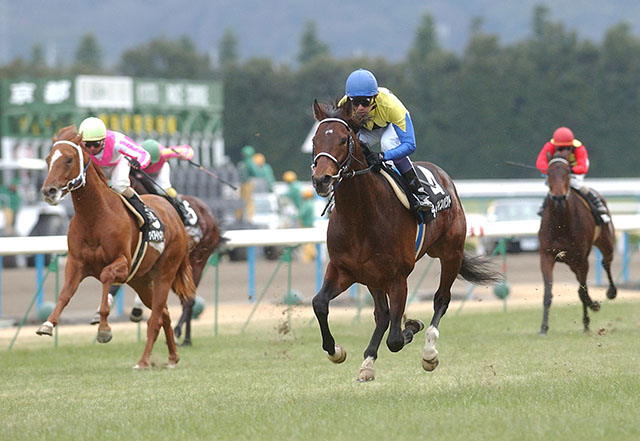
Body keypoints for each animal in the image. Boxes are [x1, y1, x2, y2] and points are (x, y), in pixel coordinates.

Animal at [37, 126, 196, 369]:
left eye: (69, 159)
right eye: (48, 159)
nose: (49, 191)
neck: (95, 217)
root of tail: (174, 213)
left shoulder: (123, 263)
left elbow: (105, 276)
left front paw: (104, 329)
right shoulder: (76, 263)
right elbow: (66, 293)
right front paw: (48, 324)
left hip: (164, 272)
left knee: (155, 318)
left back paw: (143, 361)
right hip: (141, 280)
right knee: (164, 313)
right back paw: (172, 357)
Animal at [310, 100, 500, 381]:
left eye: (344, 140)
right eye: (315, 140)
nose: (321, 180)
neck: (360, 216)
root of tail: (442, 176)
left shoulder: (397, 277)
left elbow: (396, 339)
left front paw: (413, 324)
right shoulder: (344, 269)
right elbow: (320, 303)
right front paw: (336, 351)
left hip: (450, 253)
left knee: (441, 299)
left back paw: (429, 351)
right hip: (373, 278)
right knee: (382, 315)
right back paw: (368, 362)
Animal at [538, 151, 617, 335]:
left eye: (567, 172)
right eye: (549, 173)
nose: (559, 198)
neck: (561, 223)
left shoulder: (582, 258)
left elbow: (582, 292)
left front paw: (595, 306)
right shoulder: (546, 256)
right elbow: (548, 293)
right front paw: (544, 328)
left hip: (605, 242)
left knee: (606, 263)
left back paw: (610, 293)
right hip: (572, 263)